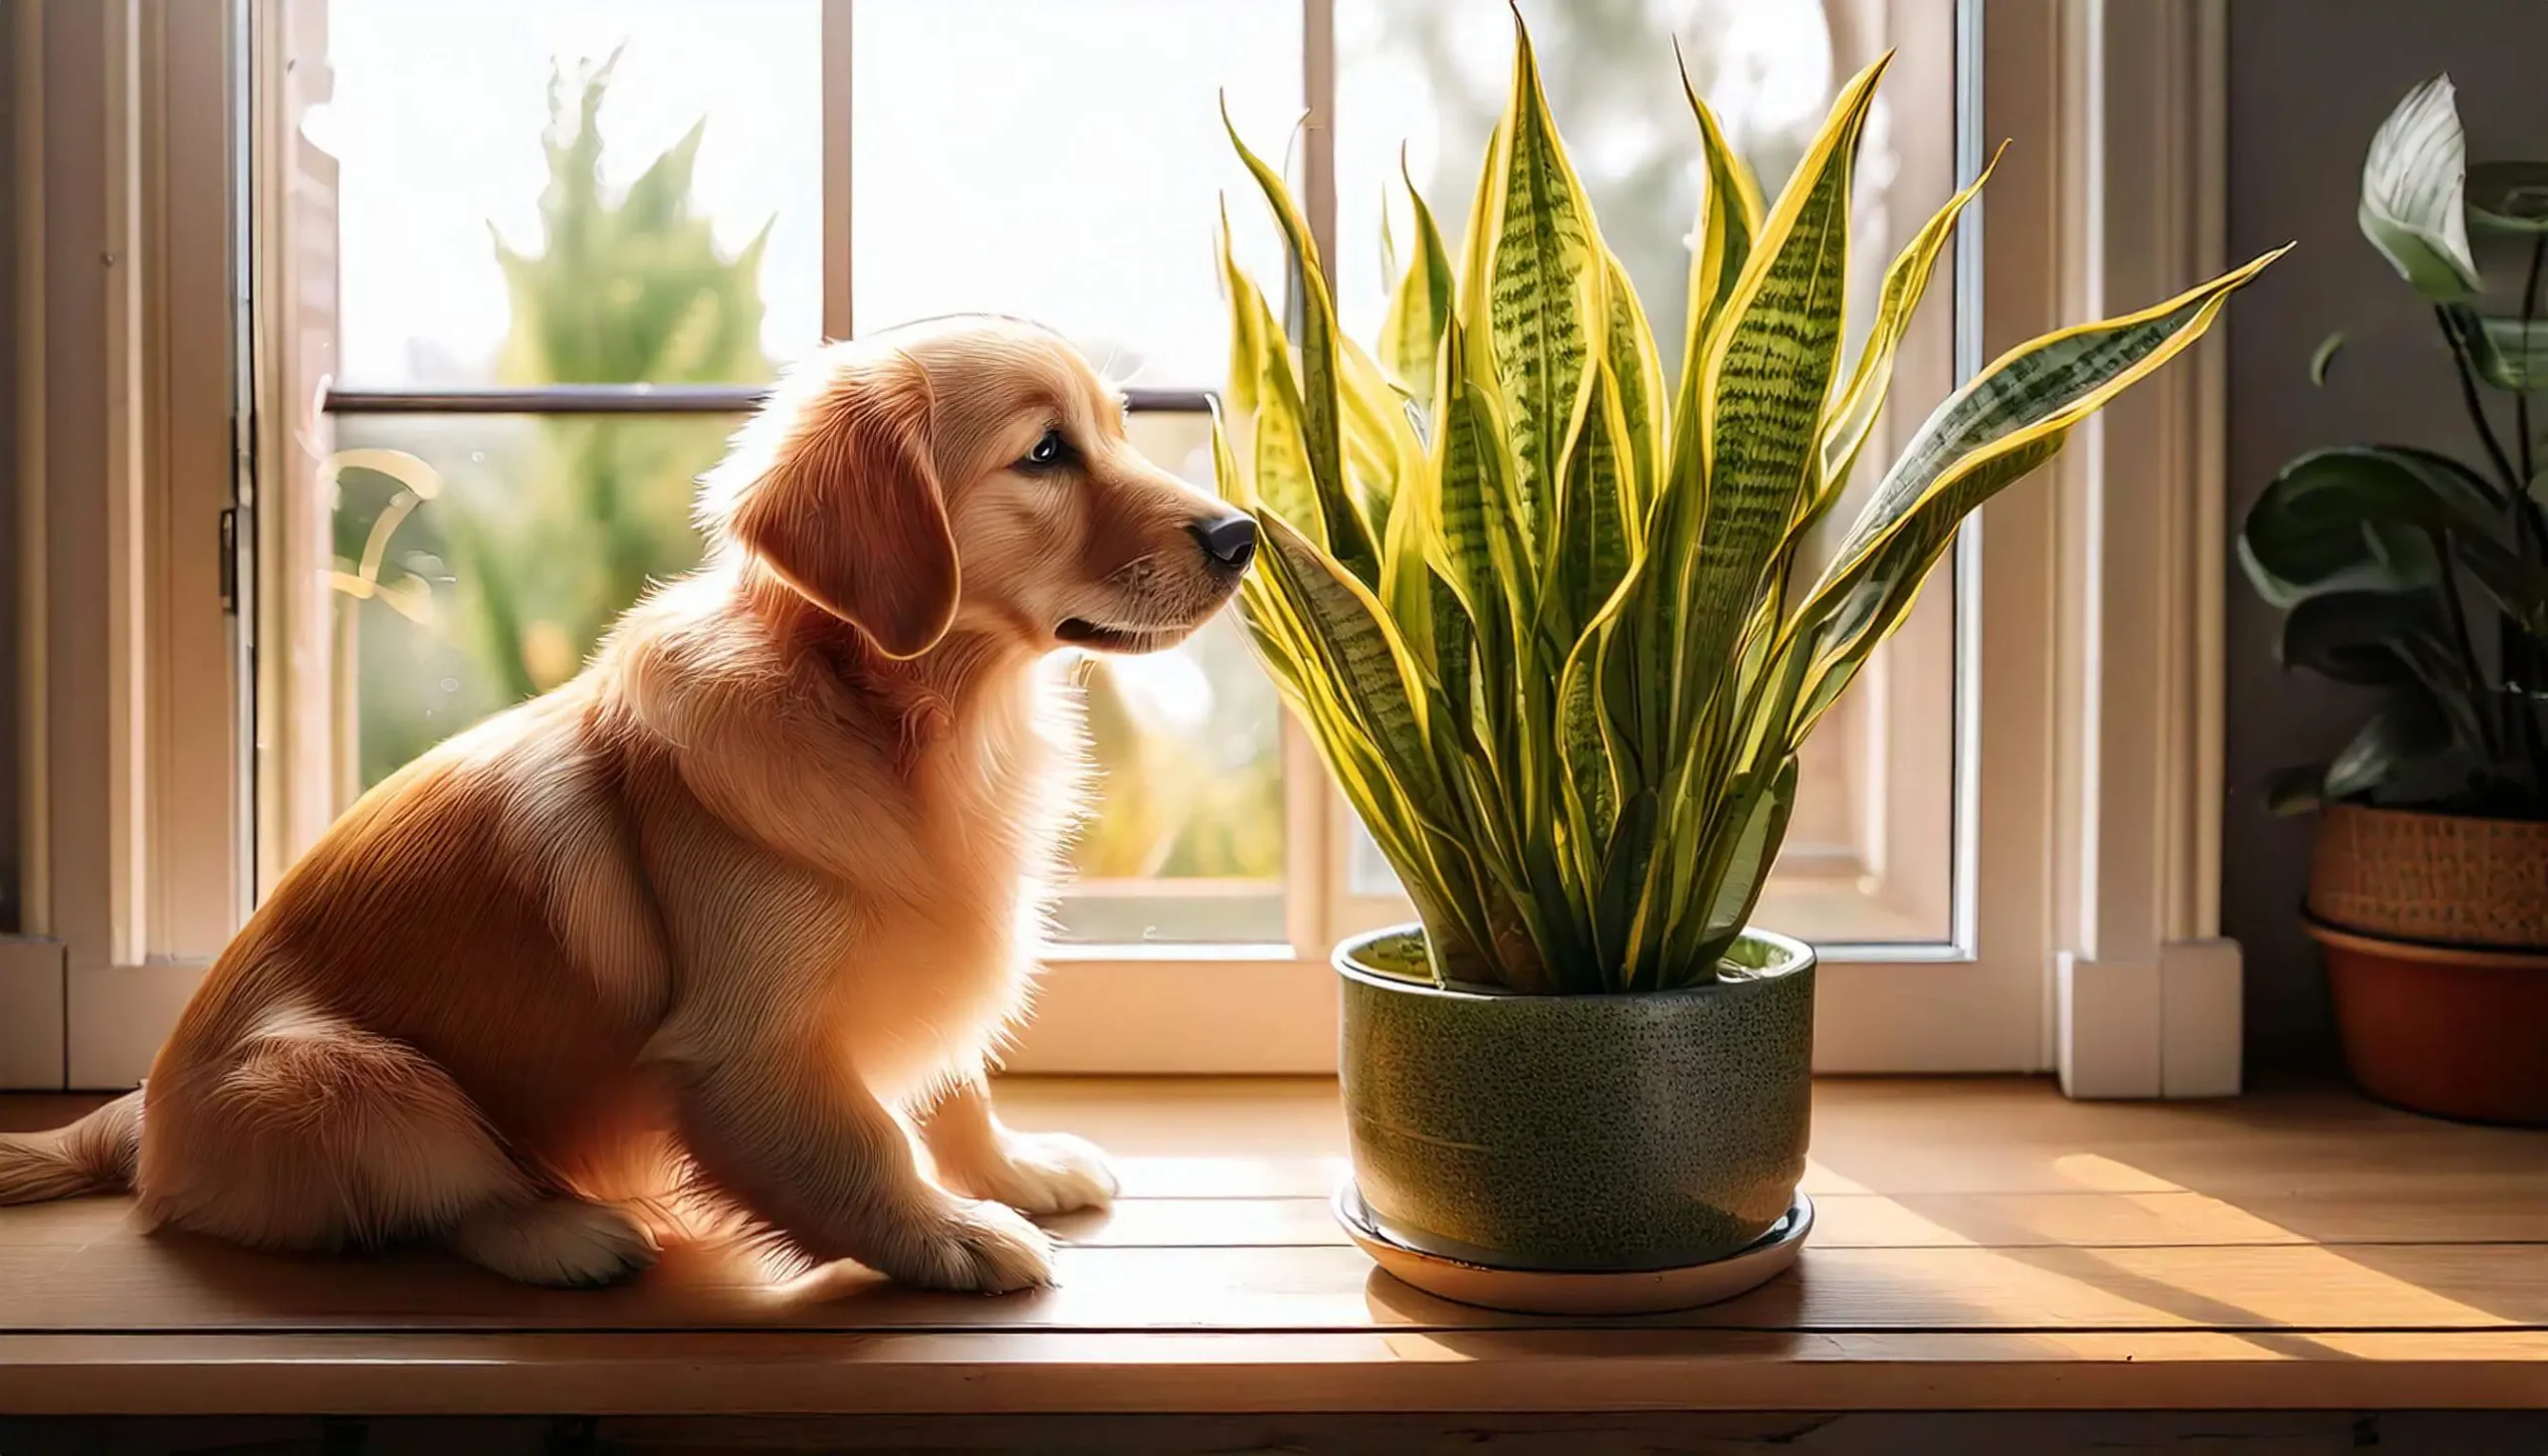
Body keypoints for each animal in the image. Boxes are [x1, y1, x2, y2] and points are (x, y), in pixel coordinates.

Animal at [0, 313, 1258, 1295]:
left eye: (1112, 432)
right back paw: (566, 1230)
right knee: (446, 1194)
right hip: (348, 1077)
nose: (1241, 533)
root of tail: (144, 1122)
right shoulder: (748, 1046)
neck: (903, 725)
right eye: (1044, 453)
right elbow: (866, 1145)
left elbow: (952, 1090)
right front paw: (950, 1234)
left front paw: (1013, 1168)